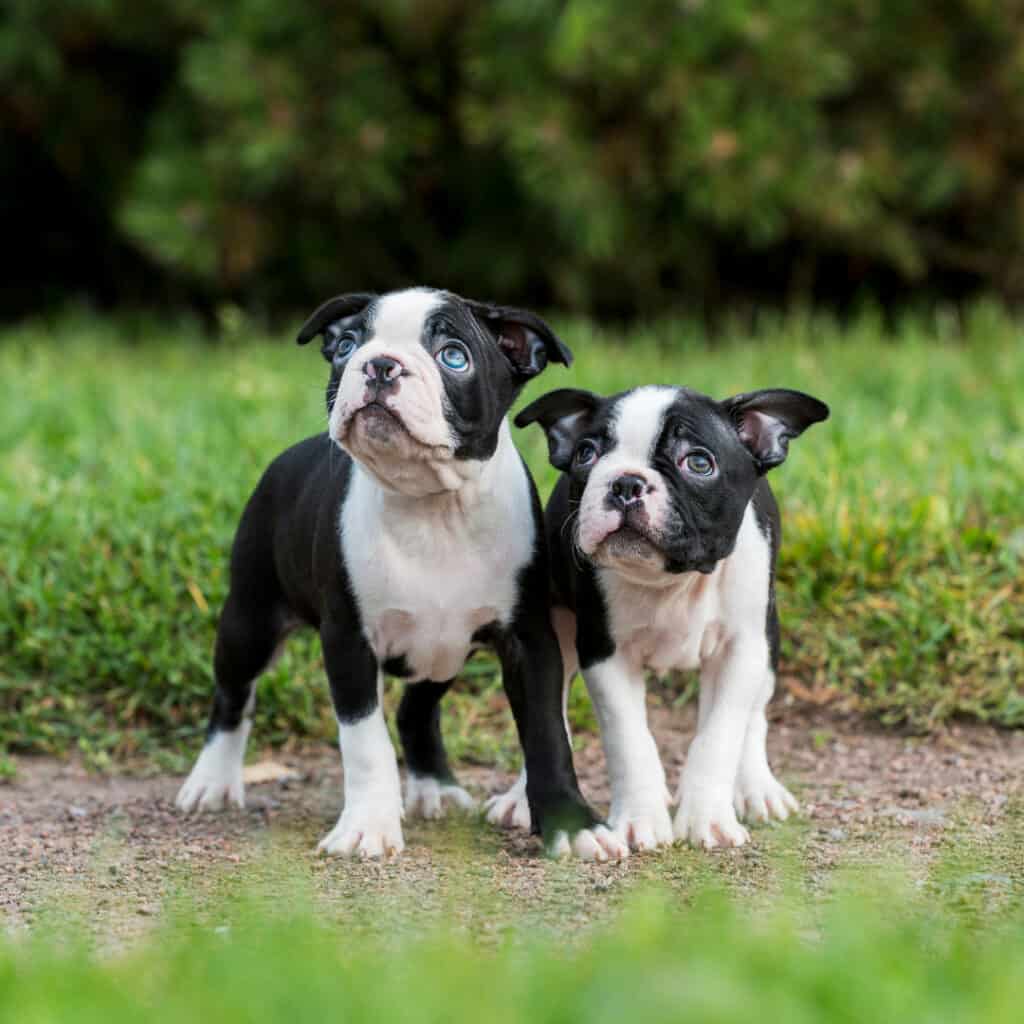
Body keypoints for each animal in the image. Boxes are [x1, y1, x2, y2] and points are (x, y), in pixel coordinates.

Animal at [176, 290, 622, 864]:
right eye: (347, 345)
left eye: (454, 356)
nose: (380, 364)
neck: (430, 505)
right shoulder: (349, 640)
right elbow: (365, 742)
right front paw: (367, 826)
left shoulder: (529, 640)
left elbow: (546, 733)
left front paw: (571, 824)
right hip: (249, 619)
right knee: (233, 696)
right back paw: (212, 781)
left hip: (442, 651)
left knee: (416, 710)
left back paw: (435, 787)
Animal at [491, 385, 827, 847]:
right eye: (586, 453)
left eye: (698, 463)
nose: (626, 482)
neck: (671, 582)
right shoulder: (604, 652)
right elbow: (629, 740)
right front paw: (640, 819)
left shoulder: (741, 651)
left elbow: (719, 736)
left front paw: (707, 818)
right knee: (548, 707)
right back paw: (520, 799)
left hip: (768, 642)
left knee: (754, 715)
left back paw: (756, 788)